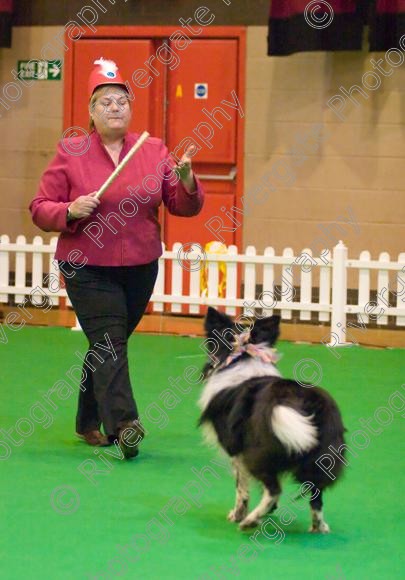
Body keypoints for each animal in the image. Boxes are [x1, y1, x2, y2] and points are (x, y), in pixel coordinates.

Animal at [199, 310, 344, 532]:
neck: (244, 358)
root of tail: (298, 396)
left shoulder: (236, 452)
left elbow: (241, 488)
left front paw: (237, 515)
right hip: (321, 457)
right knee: (316, 495)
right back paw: (318, 527)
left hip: (257, 453)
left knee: (274, 489)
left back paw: (250, 521)